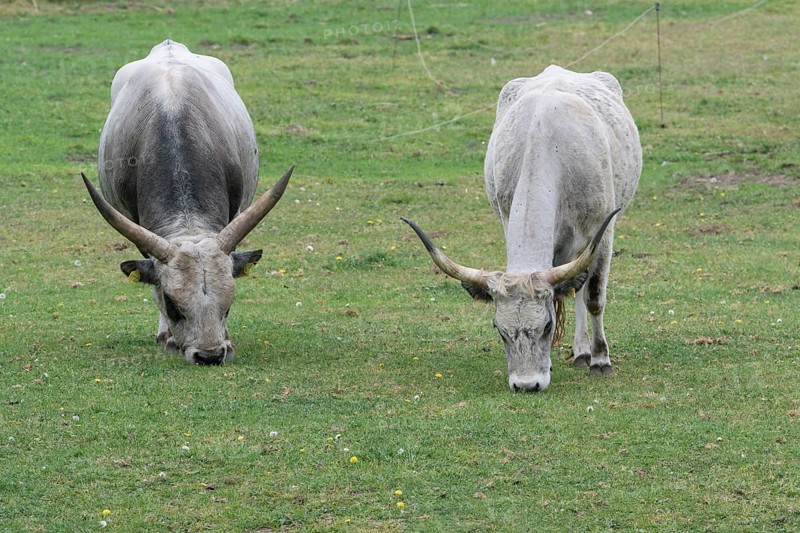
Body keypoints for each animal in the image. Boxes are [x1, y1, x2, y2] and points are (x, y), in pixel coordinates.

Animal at [403, 65, 641, 391]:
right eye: (498, 328)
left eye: (547, 326)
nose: (526, 385)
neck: (549, 146)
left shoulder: (602, 233)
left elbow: (593, 297)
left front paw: (601, 360)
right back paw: (580, 352)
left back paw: (587, 353)